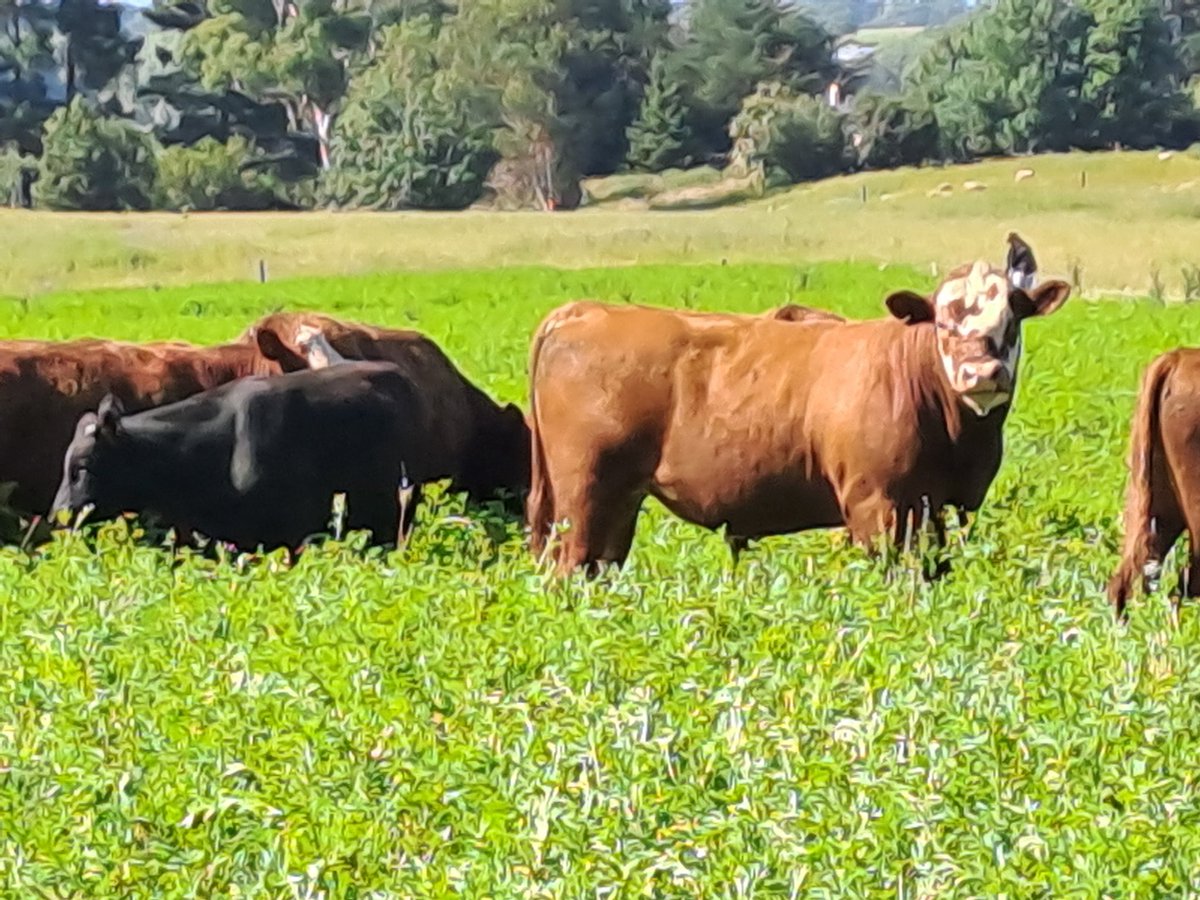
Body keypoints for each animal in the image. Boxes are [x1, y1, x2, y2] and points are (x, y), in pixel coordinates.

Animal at [526, 252, 1070, 574]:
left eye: (1013, 319)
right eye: (942, 322)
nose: (981, 373)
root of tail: (583, 310)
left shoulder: (938, 507)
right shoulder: (878, 506)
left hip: (618, 500)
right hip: (584, 492)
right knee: (568, 565)